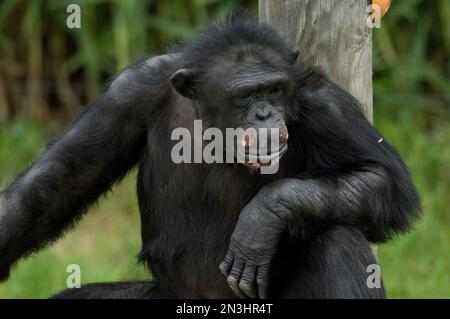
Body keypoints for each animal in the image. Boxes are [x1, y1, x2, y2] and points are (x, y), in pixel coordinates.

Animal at [0, 13, 422, 298]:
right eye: (246, 95)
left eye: (274, 89)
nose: (265, 113)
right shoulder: (129, 91)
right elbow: (61, 179)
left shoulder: (323, 104)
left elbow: (383, 178)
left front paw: (264, 216)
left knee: (337, 239)